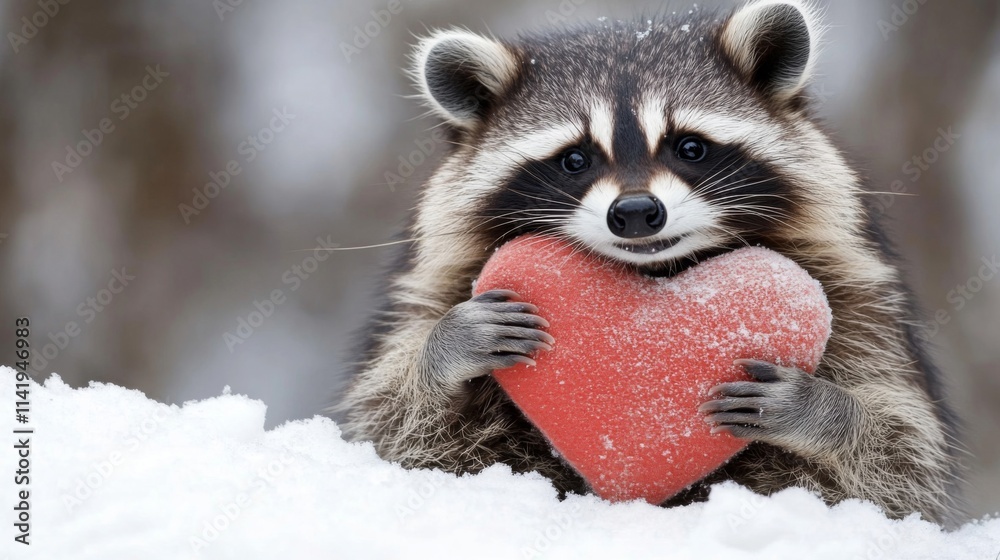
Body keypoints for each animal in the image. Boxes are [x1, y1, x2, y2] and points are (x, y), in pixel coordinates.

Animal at [340, 0, 962, 524]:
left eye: (690, 147)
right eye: (575, 159)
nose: (636, 212)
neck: (655, 269)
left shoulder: (856, 298)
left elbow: (897, 457)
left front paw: (825, 412)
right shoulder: (441, 288)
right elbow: (399, 431)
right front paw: (443, 350)